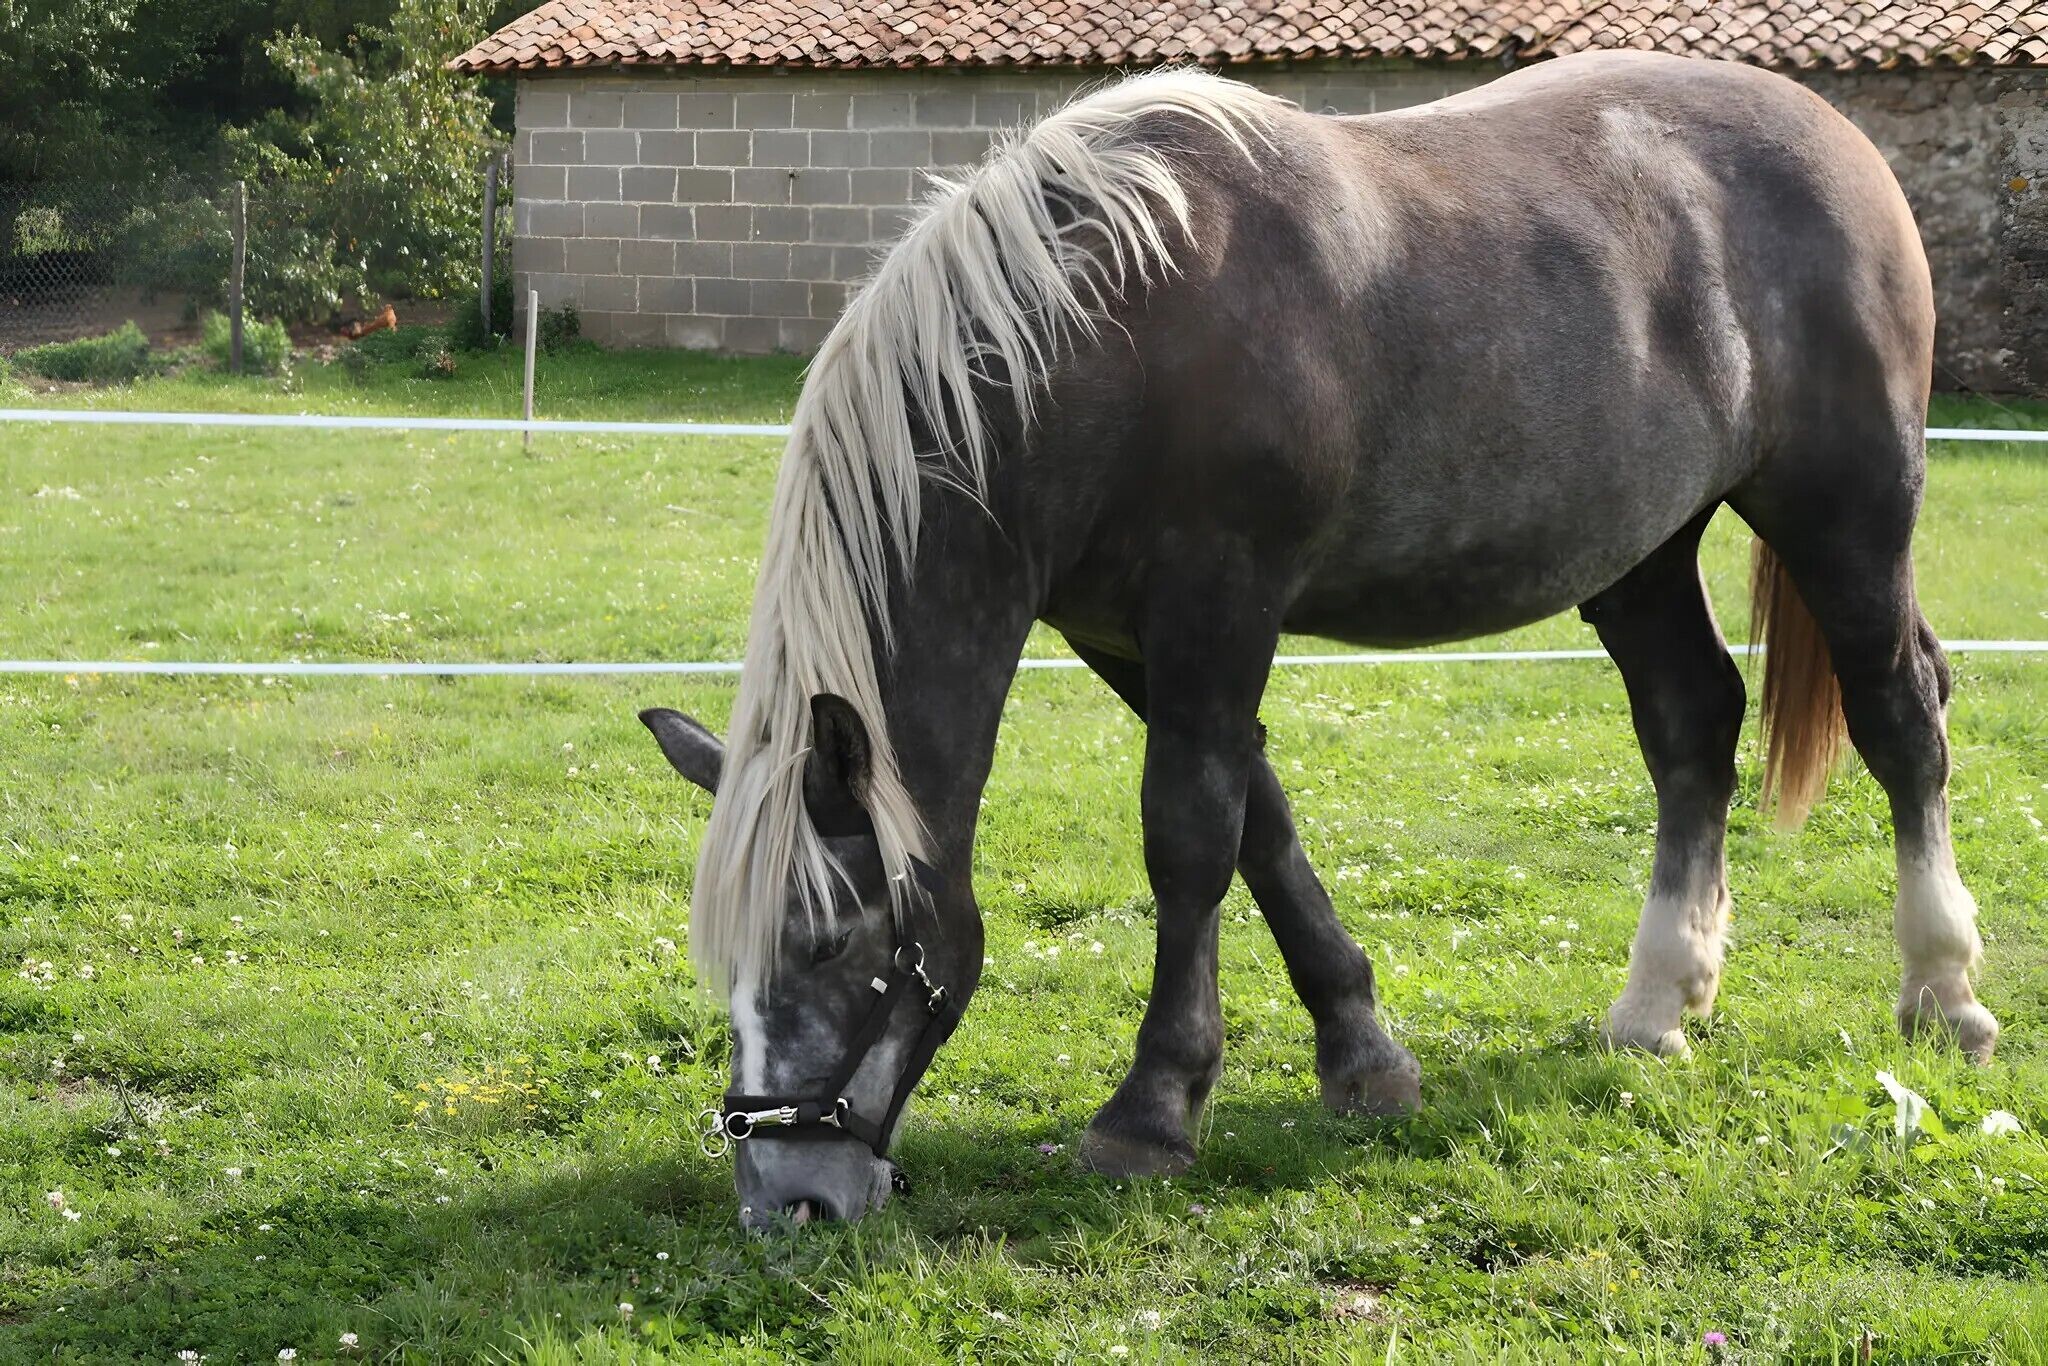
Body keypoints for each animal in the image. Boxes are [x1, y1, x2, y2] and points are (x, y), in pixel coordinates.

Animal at [638, 51, 1999, 1227]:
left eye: (832, 943)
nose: (786, 1199)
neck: (1098, 340)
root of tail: (1833, 137)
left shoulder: (1218, 608)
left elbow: (1190, 837)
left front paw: (1150, 1110)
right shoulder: (1132, 640)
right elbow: (1262, 825)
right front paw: (1361, 1055)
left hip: (1845, 515)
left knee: (1900, 717)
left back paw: (1943, 991)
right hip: (1640, 551)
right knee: (1689, 725)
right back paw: (1659, 1000)